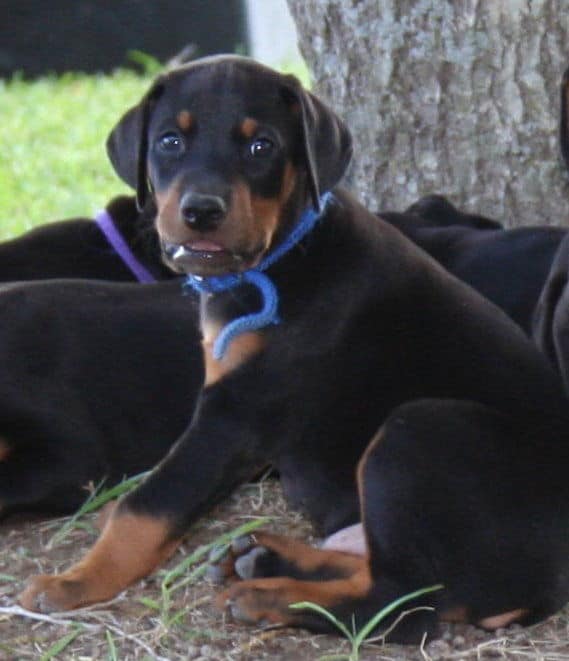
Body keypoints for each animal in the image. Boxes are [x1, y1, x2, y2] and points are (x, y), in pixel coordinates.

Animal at [16, 54, 568, 640]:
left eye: (262, 147)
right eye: (169, 141)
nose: (202, 211)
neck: (283, 256)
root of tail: (551, 586)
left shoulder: (234, 413)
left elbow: (148, 505)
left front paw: (76, 581)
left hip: (419, 429)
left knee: (402, 604)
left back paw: (269, 596)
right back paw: (267, 558)